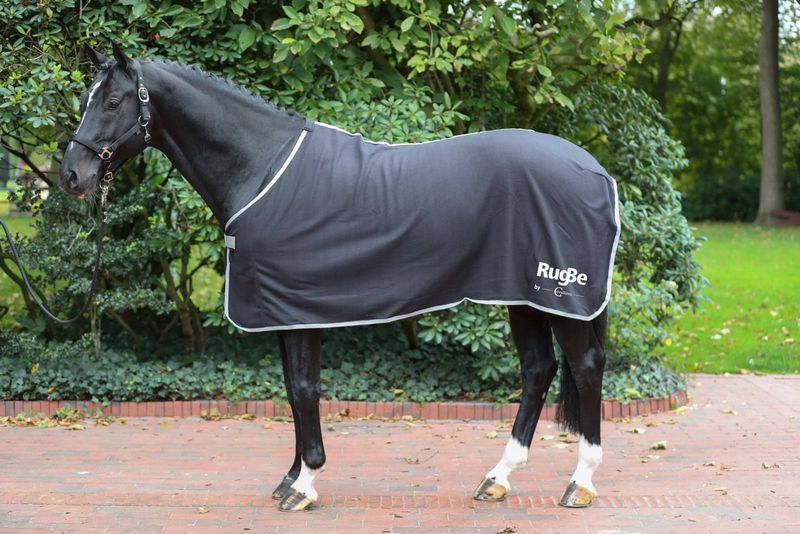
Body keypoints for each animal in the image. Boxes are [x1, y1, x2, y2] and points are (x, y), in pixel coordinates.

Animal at [60, 44, 619, 512]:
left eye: (112, 102)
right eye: (87, 99)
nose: (71, 176)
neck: (262, 170)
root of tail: (594, 170)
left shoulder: (300, 309)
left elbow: (306, 389)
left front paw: (305, 485)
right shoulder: (281, 311)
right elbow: (291, 390)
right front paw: (289, 478)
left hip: (560, 296)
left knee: (585, 366)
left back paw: (581, 483)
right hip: (523, 296)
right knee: (538, 370)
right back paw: (498, 477)